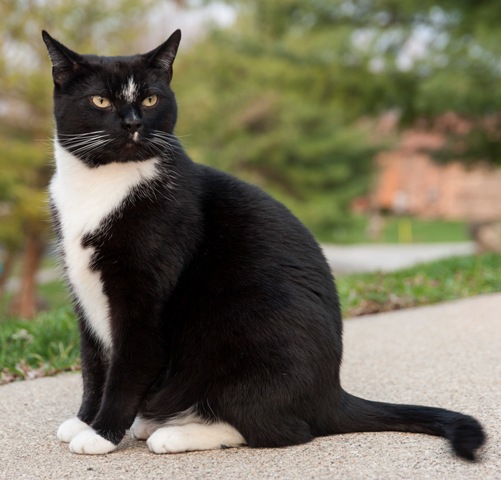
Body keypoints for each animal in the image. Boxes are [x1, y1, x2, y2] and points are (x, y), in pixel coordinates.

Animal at [42, 29, 484, 458]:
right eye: (100, 100)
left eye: (150, 99)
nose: (132, 123)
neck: (102, 185)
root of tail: (330, 395)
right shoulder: (83, 293)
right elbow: (94, 364)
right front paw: (84, 420)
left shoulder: (144, 296)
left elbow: (128, 366)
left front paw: (102, 434)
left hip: (245, 332)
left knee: (281, 429)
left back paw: (175, 433)